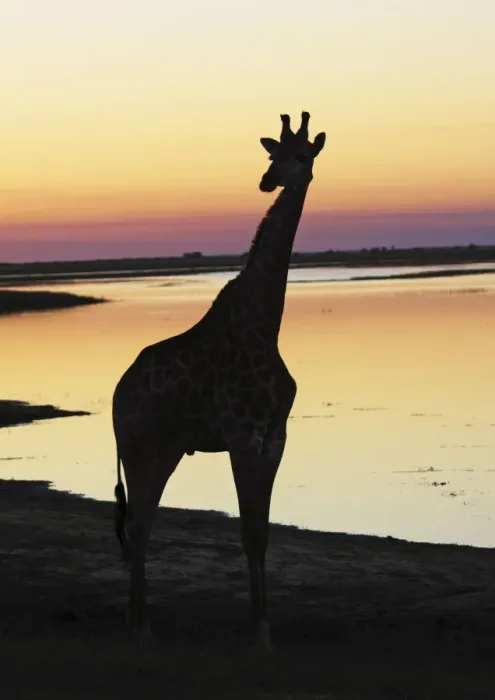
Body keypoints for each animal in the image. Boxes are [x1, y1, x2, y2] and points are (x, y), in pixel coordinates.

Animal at [112, 111, 326, 648]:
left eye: (302, 155)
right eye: (273, 154)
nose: (268, 181)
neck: (265, 324)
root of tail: (116, 394)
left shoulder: (275, 435)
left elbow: (263, 532)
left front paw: (265, 623)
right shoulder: (241, 434)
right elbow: (248, 531)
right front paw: (258, 630)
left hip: (167, 448)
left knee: (142, 523)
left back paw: (138, 620)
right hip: (141, 446)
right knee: (139, 525)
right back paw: (140, 625)